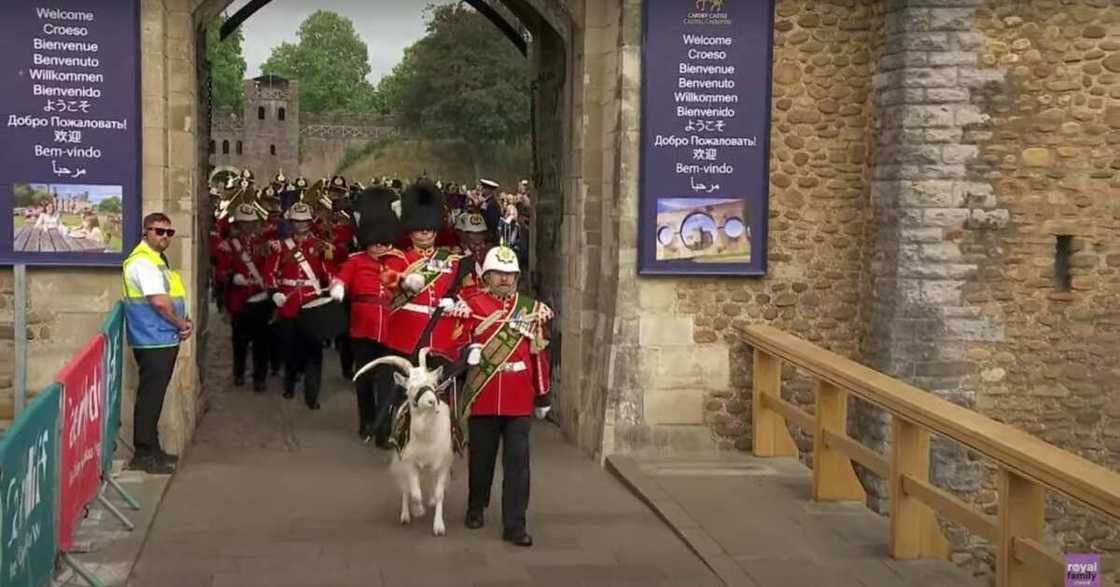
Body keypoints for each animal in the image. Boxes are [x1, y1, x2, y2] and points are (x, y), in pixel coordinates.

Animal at [351, 349, 452, 535]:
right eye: (410, 387)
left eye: (434, 384)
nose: (431, 401)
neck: (427, 436)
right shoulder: (409, 461)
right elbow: (415, 493)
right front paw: (418, 511)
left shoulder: (444, 462)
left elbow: (440, 492)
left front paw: (439, 525)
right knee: (405, 488)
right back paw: (405, 515)